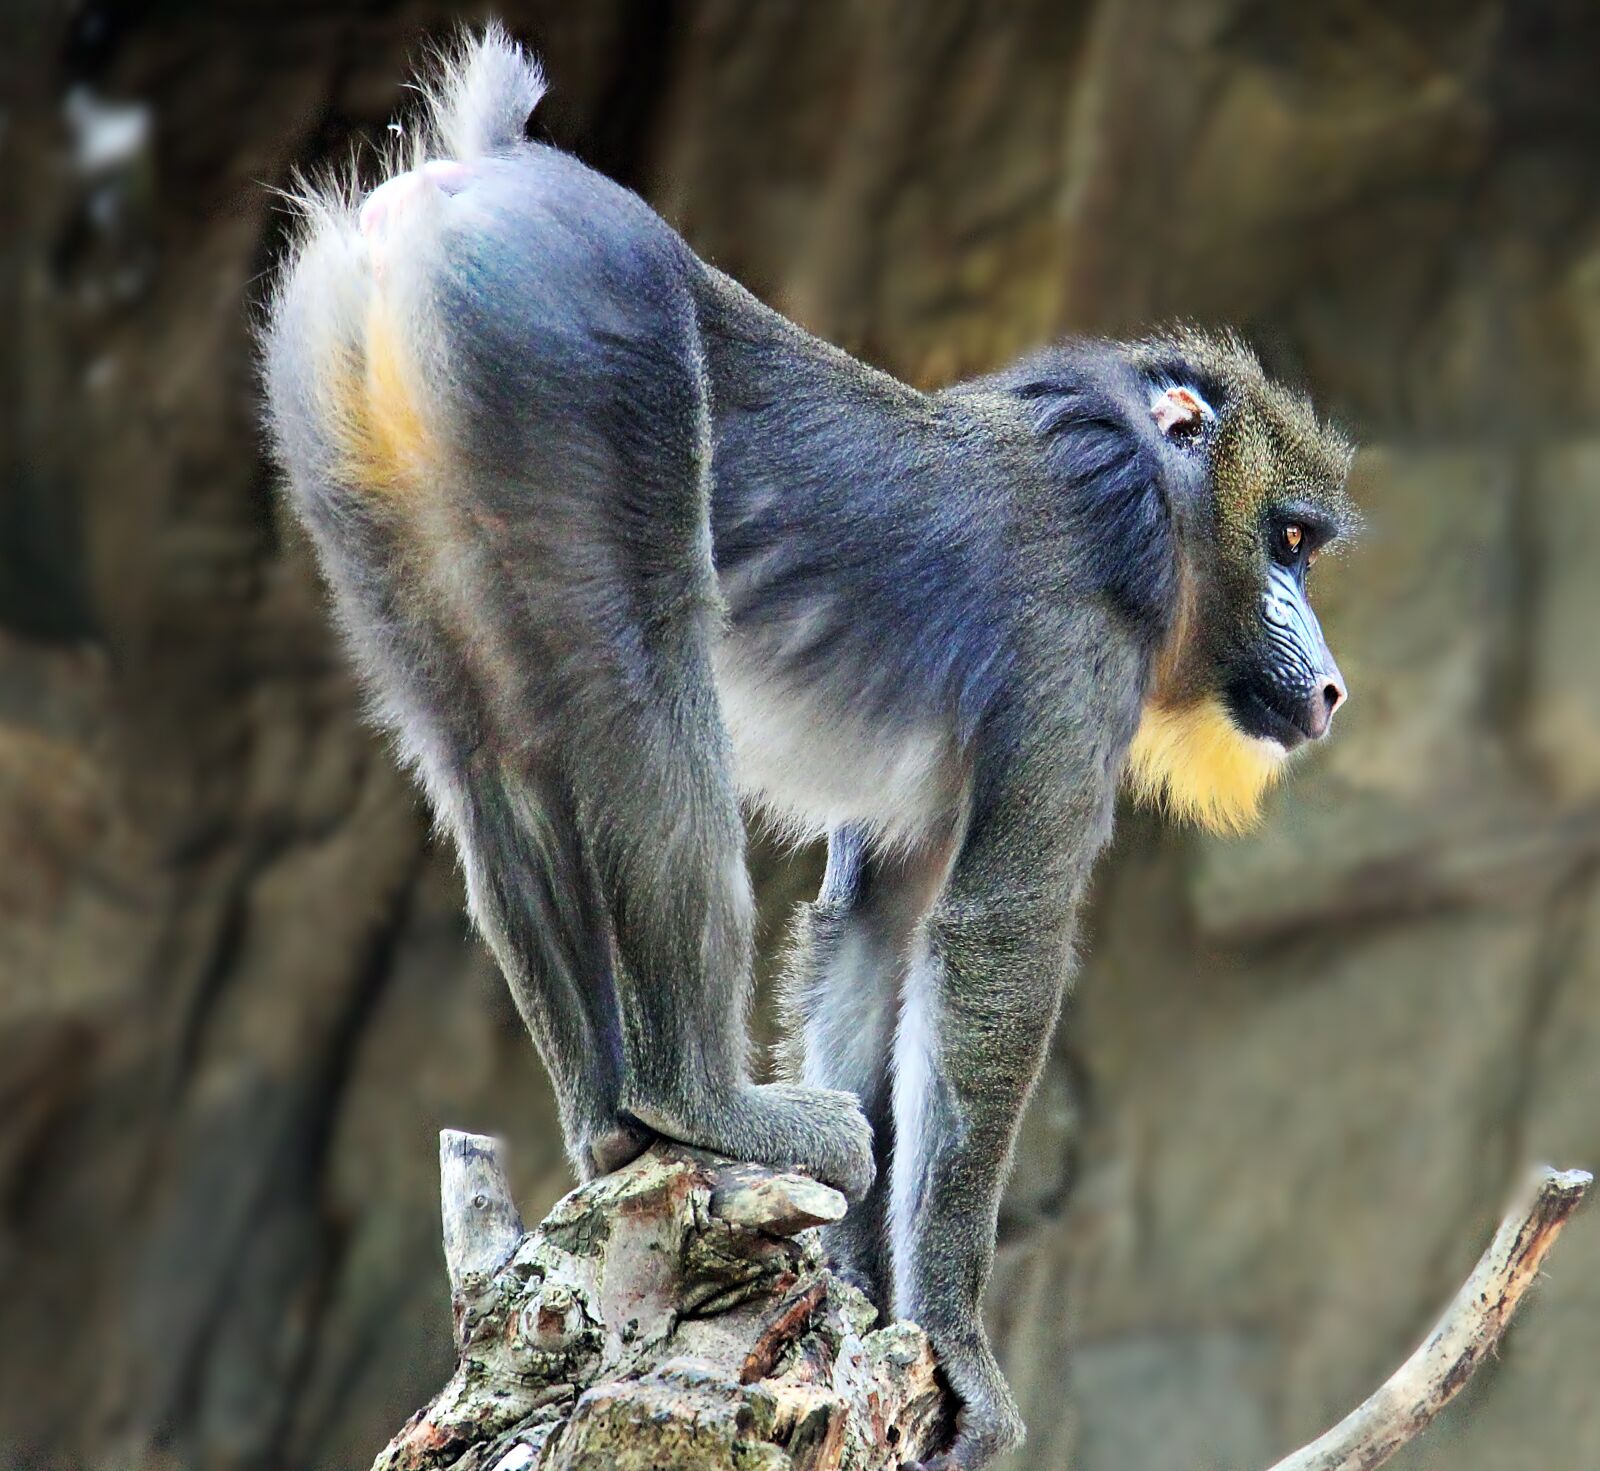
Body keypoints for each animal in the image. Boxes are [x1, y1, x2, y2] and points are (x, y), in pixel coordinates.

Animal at [261, 31, 1356, 1470]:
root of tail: (478, 171)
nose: (1330, 683)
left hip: (348, 440)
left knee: (482, 760)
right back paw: (703, 1105)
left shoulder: (912, 824)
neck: (1132, 503)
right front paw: (954, 1338)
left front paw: (858, 1293)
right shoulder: (1072, 671)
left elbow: (871, 936)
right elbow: (996, 944)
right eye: (1285, 541)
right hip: (588, 366)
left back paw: (610, 1125)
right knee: (639, 710)